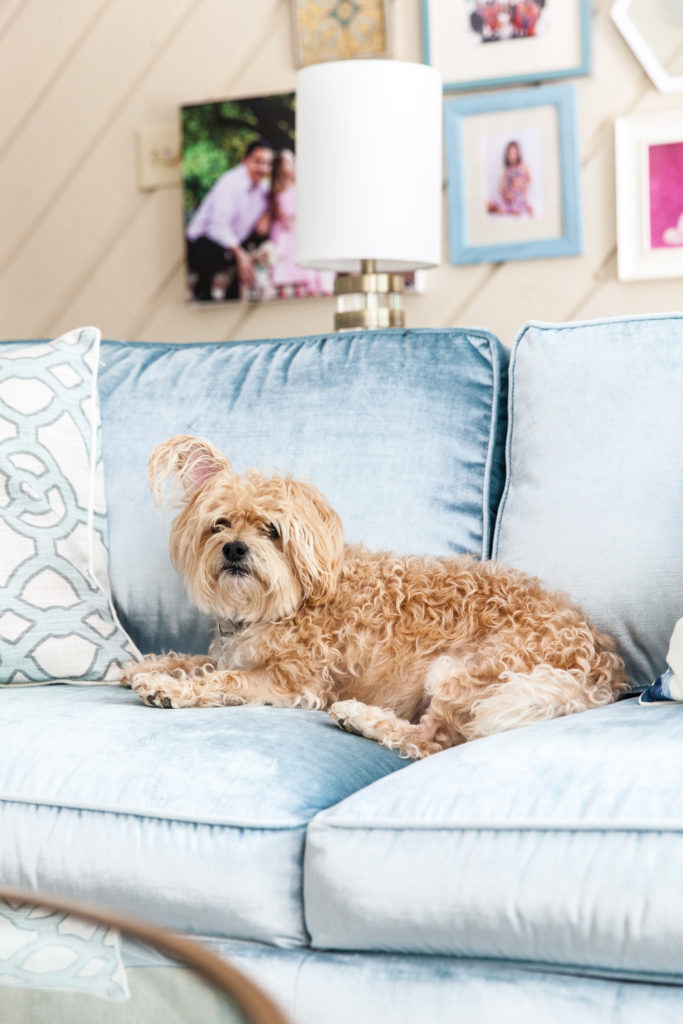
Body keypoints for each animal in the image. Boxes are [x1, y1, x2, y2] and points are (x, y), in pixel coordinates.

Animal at [124, 432, 630, 761]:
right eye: (220, 524)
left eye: (271, 530)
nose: (233, 548)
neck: (284, 604)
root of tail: (599, 668)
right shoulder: (231, 652)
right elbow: (196, 659)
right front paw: (143, 666)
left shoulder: (292, 683)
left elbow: (221, 679)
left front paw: (168, 688)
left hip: (459, 671)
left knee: (433, 741)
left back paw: (360, 718)